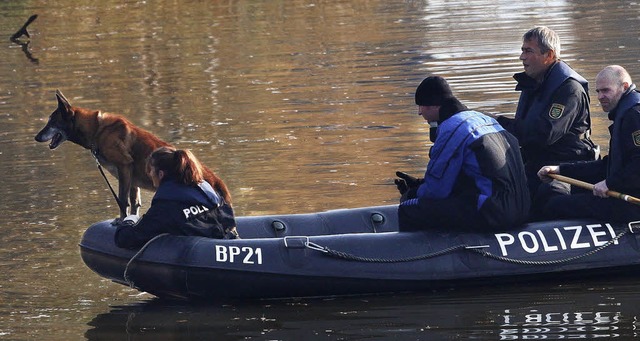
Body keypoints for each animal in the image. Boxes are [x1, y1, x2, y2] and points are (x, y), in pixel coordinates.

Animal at [35, 89, 232, 218]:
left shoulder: (124, 167)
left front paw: (121, 221)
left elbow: (123, 201)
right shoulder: (132, 177)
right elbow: (134, 202)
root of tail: (218, 183)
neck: (97, 130)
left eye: (51, 122)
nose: (36, 137)